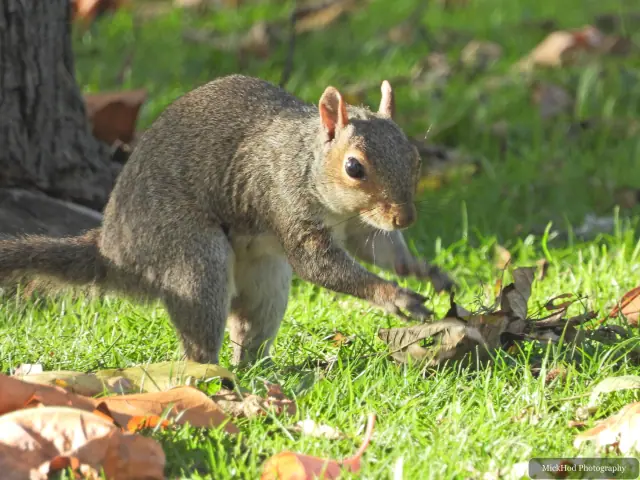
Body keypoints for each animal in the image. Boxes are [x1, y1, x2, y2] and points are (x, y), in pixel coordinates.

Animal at [0, 75, 453, 365]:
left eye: (414, 158)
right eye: (354, 167)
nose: (405, 218)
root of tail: (114, 249)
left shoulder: (360, 225)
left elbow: (379, 250)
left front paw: (429, 272)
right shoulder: (283, 198)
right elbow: (317, 266)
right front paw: (393, 296)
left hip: (266, 276)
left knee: (249, 327)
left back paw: (259, 371)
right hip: (191, 256)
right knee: (200, 333)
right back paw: (214, 378)